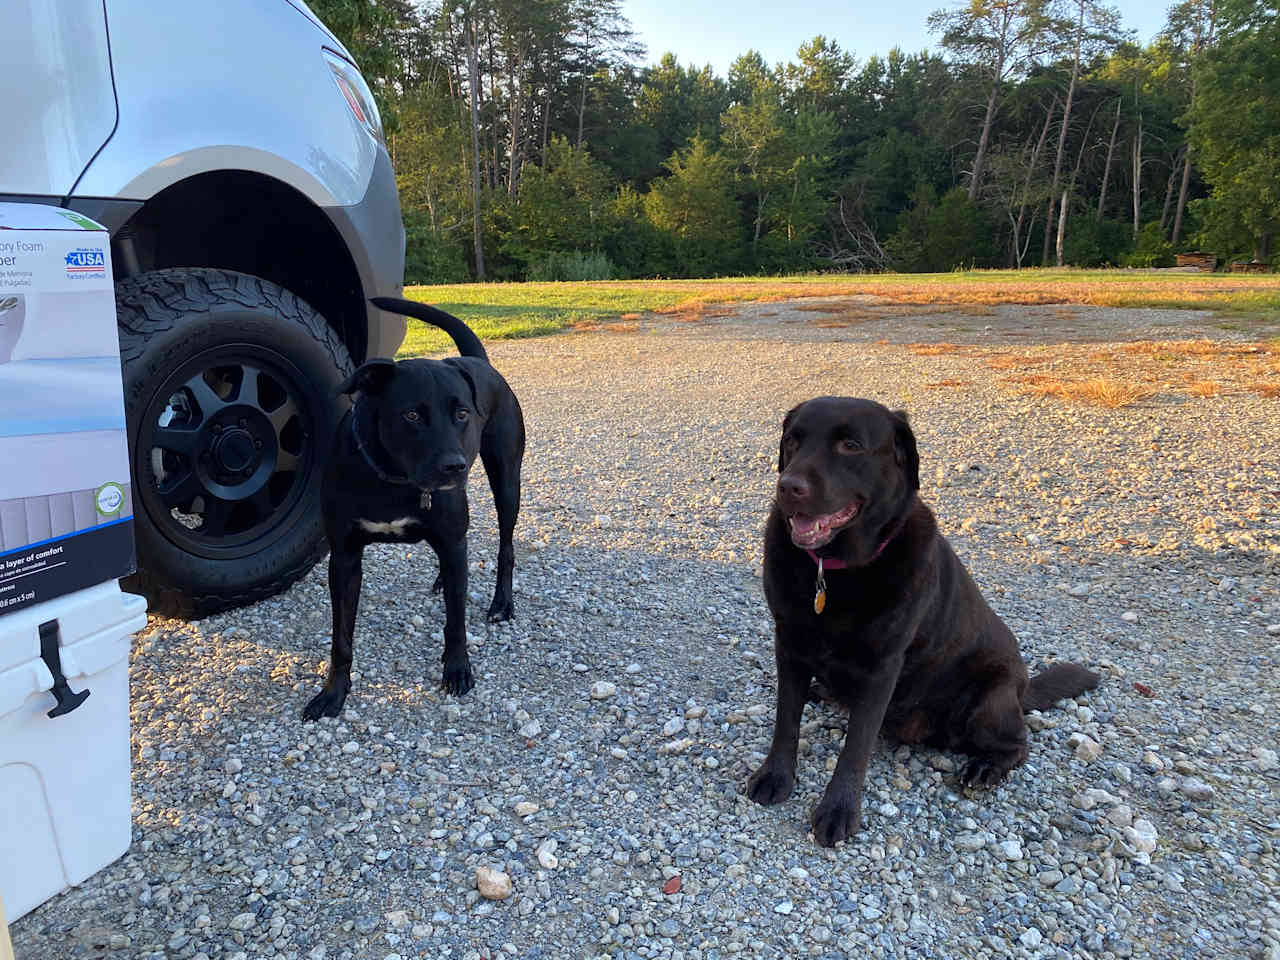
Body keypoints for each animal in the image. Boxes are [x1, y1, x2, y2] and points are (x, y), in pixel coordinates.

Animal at [299, 296, 524, 716]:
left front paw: (457, 669)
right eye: (412, 414)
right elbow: (341, 636)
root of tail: (479, 362)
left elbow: (456, 622)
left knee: (505, 547)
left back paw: (502, 603)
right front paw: (333, 691)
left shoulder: (452, 537)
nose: (454, 465)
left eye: (462, 413)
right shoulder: (345, 558)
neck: (392, 477)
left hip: (507, 482)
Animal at [747, 399, 1100, 849]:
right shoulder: (789, 642)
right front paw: (775, 775)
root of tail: (1023, 688)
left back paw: (985, 767)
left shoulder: (883, 667)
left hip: (989, 699)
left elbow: (856, 745)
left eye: (850, 445)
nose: (788, 487)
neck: (832, 570)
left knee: (1019, 744)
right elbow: (786, 720)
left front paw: (839, 809)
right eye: (793, 440)